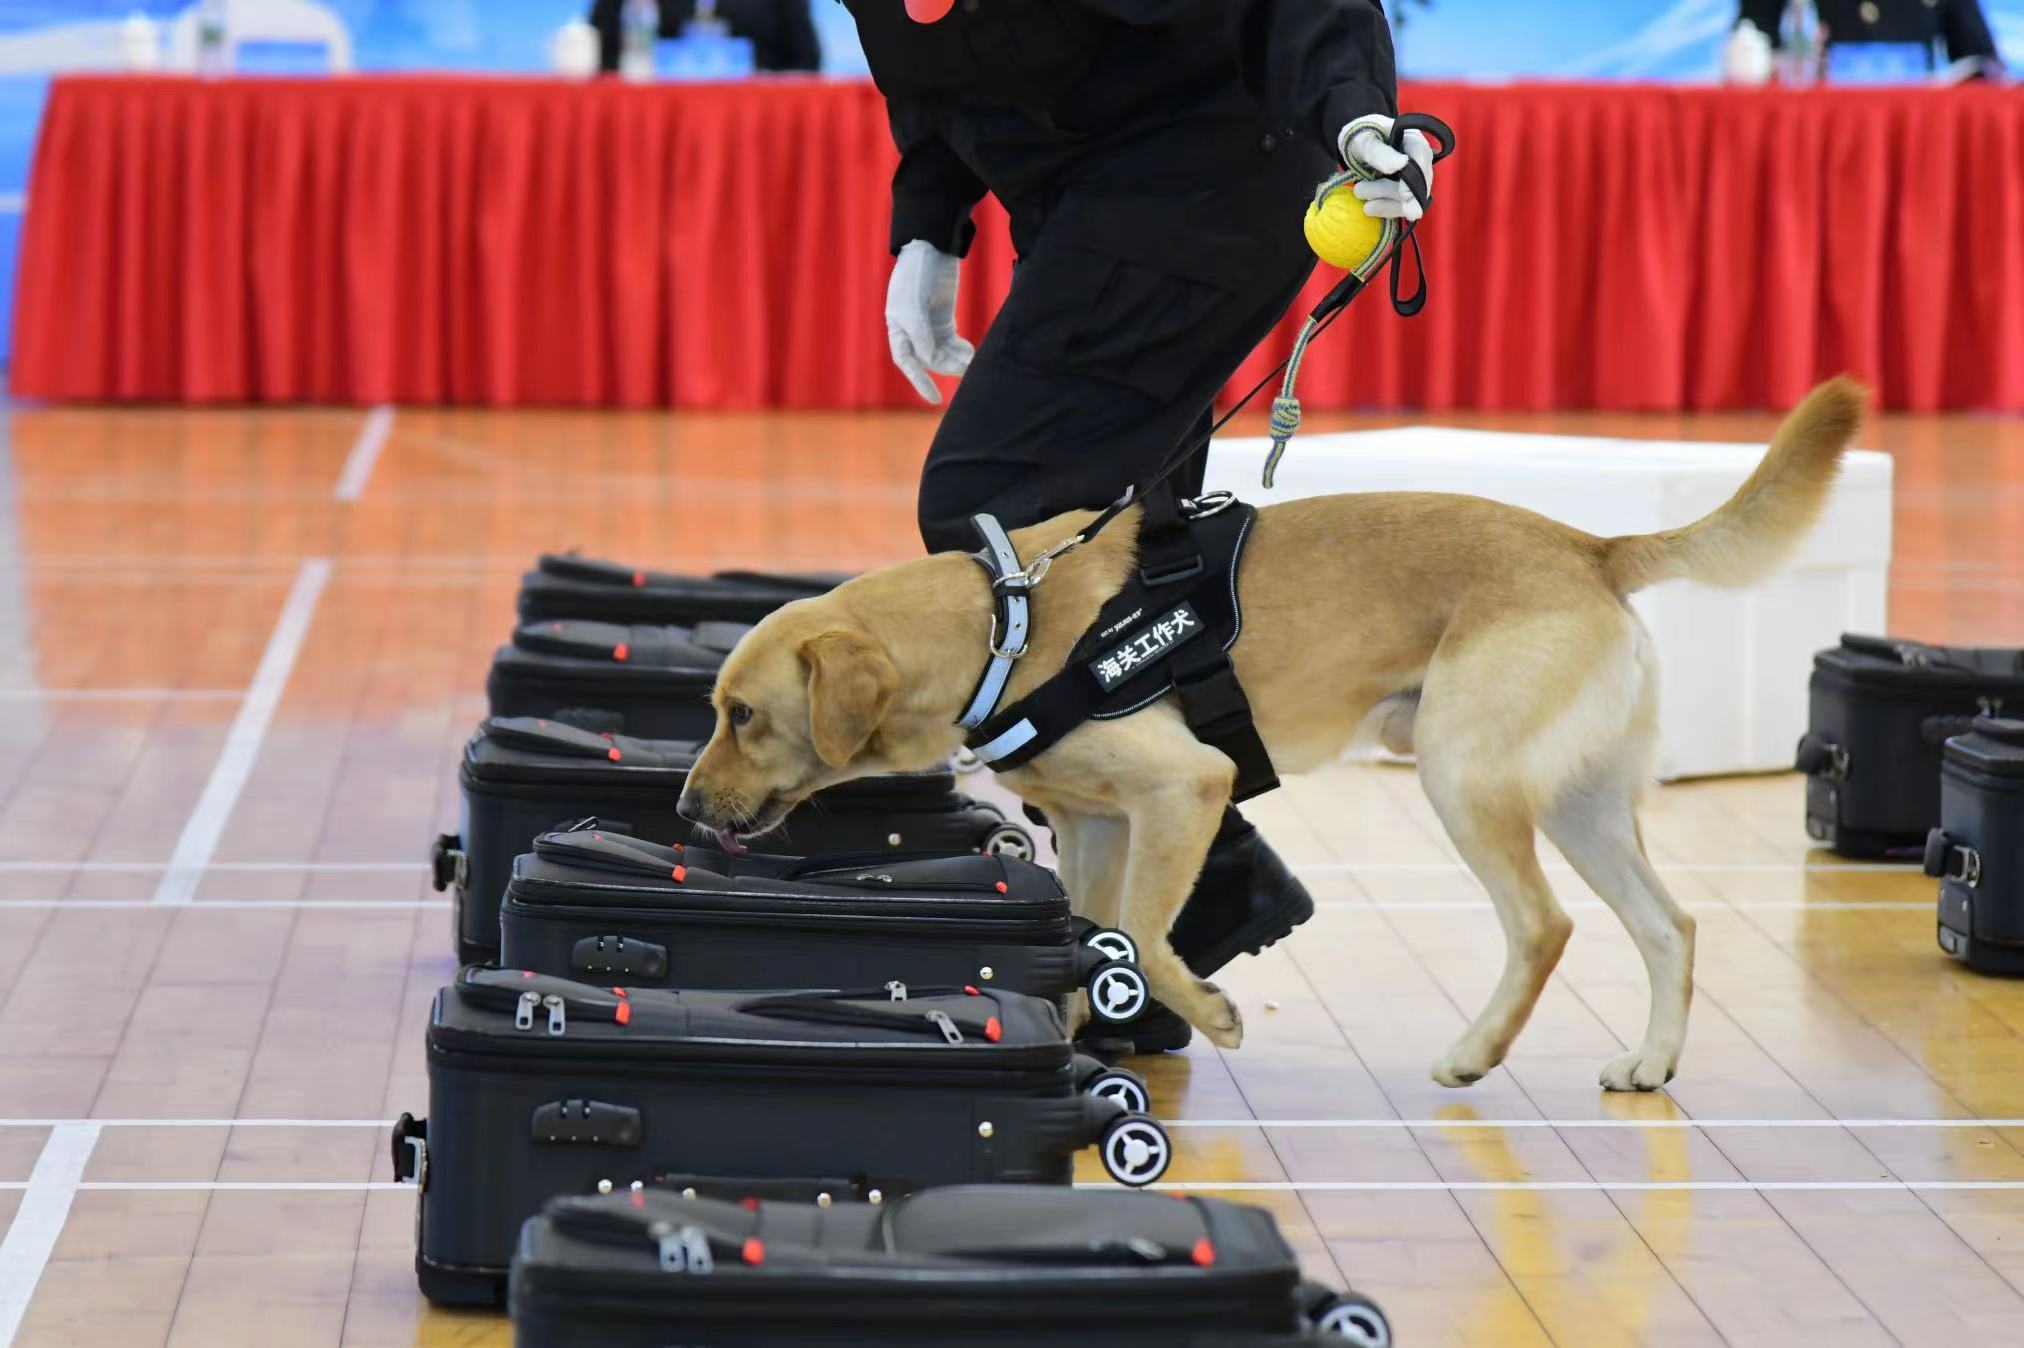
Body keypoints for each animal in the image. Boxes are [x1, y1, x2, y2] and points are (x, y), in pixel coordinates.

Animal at [680, 372, 1862, 1084]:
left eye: (744, 716)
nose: (686, 808)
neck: (1004, 626)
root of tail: (1590, 548)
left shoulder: (1186, 790)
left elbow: (1144, 938)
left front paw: (1205, 1014)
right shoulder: (1098, 827)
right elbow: (1089, 938)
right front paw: (1076, 1048)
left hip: (1462, 775)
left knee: (1544, 925)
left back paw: (1475, 1052)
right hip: (1579, 802)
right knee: (1670, 927)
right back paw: (1650, 1063)